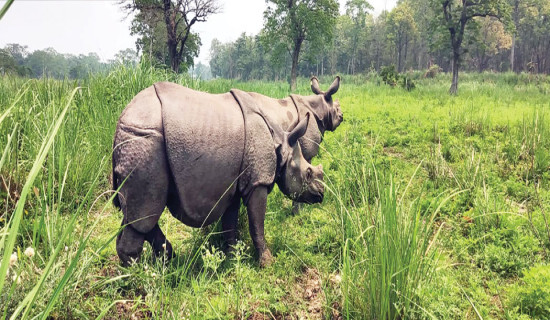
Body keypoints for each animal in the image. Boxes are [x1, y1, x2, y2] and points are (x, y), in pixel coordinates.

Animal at [113, 81, 326, 266]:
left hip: (136, 139)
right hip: (144, 140)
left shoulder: (233, 184)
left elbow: (230, 223)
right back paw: (142, 275)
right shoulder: (258, 181)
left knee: (137, 214)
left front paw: (231, 258)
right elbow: (257, 224)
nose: (321, 194)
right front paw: (267, 263)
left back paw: (167, 262)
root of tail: (123, 118)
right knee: (144, 215)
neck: (281, 144)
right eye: (308, 172)